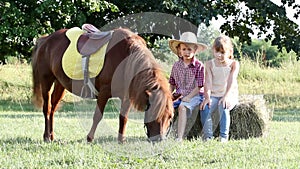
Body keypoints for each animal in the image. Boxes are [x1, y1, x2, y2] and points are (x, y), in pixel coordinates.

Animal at [31, 27, 173, 143]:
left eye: (170, 117)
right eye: (154, 114)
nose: (159, 140)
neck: (127, 57)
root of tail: (45, 40)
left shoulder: (126, 98)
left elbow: (123, 118)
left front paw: (121, 140)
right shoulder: (104, 93)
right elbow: (97, 116)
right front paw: (89, 138)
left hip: (60, 84)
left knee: (53, 108)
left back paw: (51, 135)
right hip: (46, 81)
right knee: (47, 108)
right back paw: (46, 136)